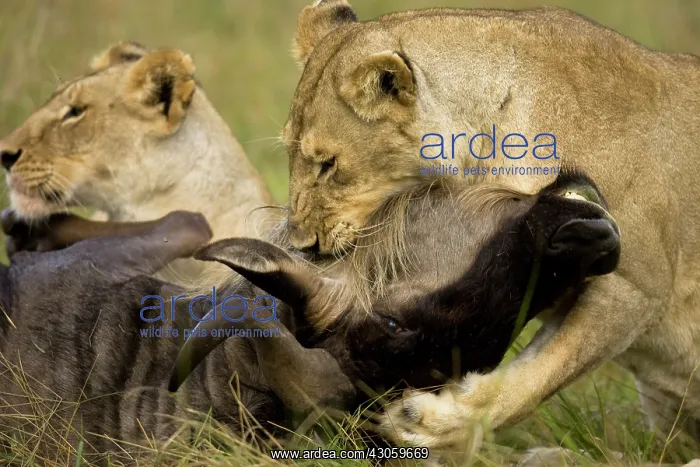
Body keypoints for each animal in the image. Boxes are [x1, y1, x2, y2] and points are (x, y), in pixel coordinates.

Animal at [282, 0, 700, 451]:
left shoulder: (636, 287)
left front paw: (432, 425)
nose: (300, 243)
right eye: (288, 151)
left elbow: (542, 374)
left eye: (328, 165)